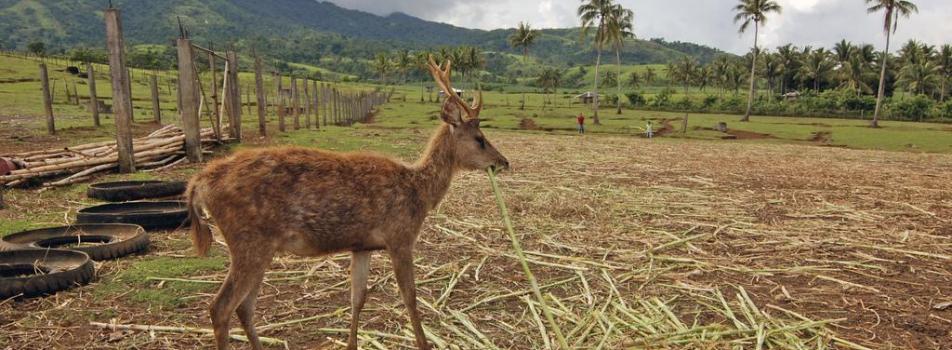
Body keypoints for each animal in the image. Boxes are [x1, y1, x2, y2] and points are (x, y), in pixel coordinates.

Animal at [186, 55, 510, 350]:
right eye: (480, 138)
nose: (503, 162)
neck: (419, 192)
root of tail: (199, 183)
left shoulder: (362, 245)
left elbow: (357, 298)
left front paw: (352, 343)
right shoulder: (400, 236)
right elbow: (410, 297)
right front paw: (423, 343)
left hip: (260, 248)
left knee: (244, 307)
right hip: (248, 241)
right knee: (220, 308)